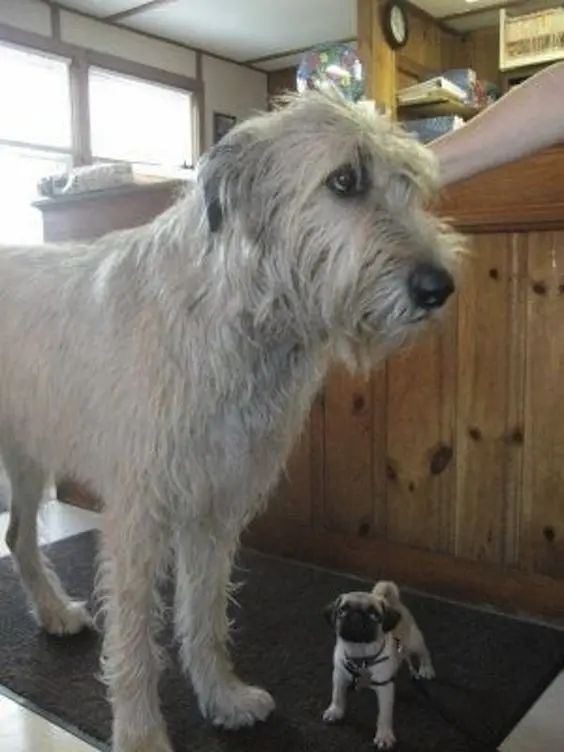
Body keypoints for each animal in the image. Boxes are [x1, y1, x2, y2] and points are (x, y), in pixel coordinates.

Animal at [322, 580, 436, 748]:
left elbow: (384, 715)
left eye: (374, 614)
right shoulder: (339, 676)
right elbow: (337, 696)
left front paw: (384, 735)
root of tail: (391, 599)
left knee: (424, 652)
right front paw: (335, 711)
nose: (356, 615)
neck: (361, 656)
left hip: (414, 642)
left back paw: (426, 669)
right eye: (342, 609)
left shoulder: (385, 688)